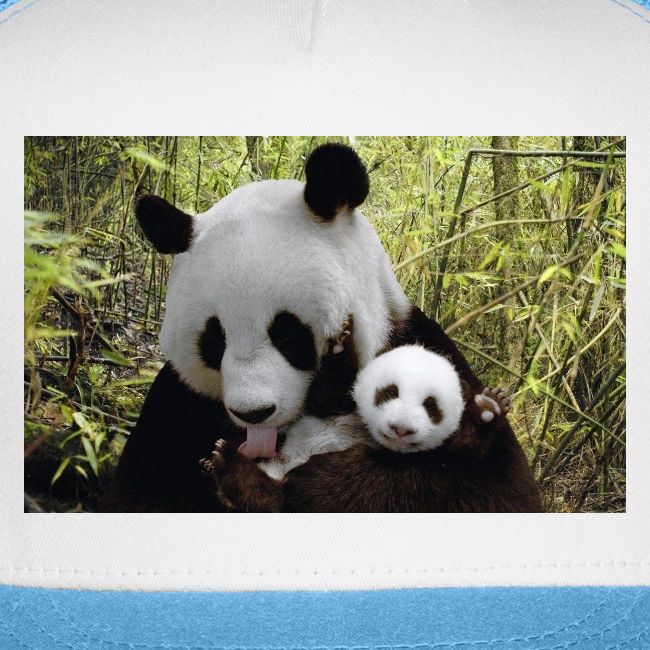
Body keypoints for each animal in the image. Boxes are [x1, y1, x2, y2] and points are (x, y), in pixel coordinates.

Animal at [100, 143, 539, 513]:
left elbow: (490, 488)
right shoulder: (178, 405)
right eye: (215, 340)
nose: (254, 413)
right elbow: (137, 493)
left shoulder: (422, 347)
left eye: (287, 333)